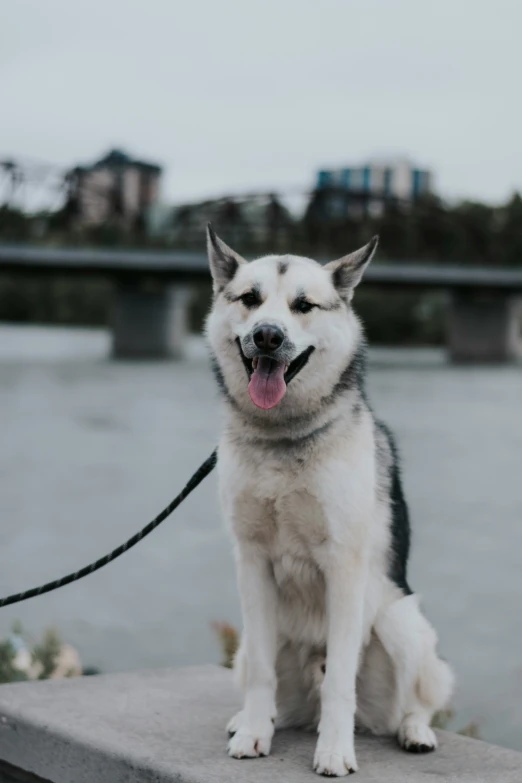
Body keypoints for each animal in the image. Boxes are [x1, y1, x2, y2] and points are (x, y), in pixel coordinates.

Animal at [203, 227, 450, 776]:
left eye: (303, 305)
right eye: (250, 299)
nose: (268, 336)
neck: (283, 435)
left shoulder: (343, 565)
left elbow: (340, 680)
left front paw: (335, 750)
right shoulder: (251, 561)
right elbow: (263, 679)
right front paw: (253, 732)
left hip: (400, 623)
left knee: (414, 700)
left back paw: (414, 731)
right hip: (250, 645)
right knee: (271, 684)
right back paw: (252, 718)